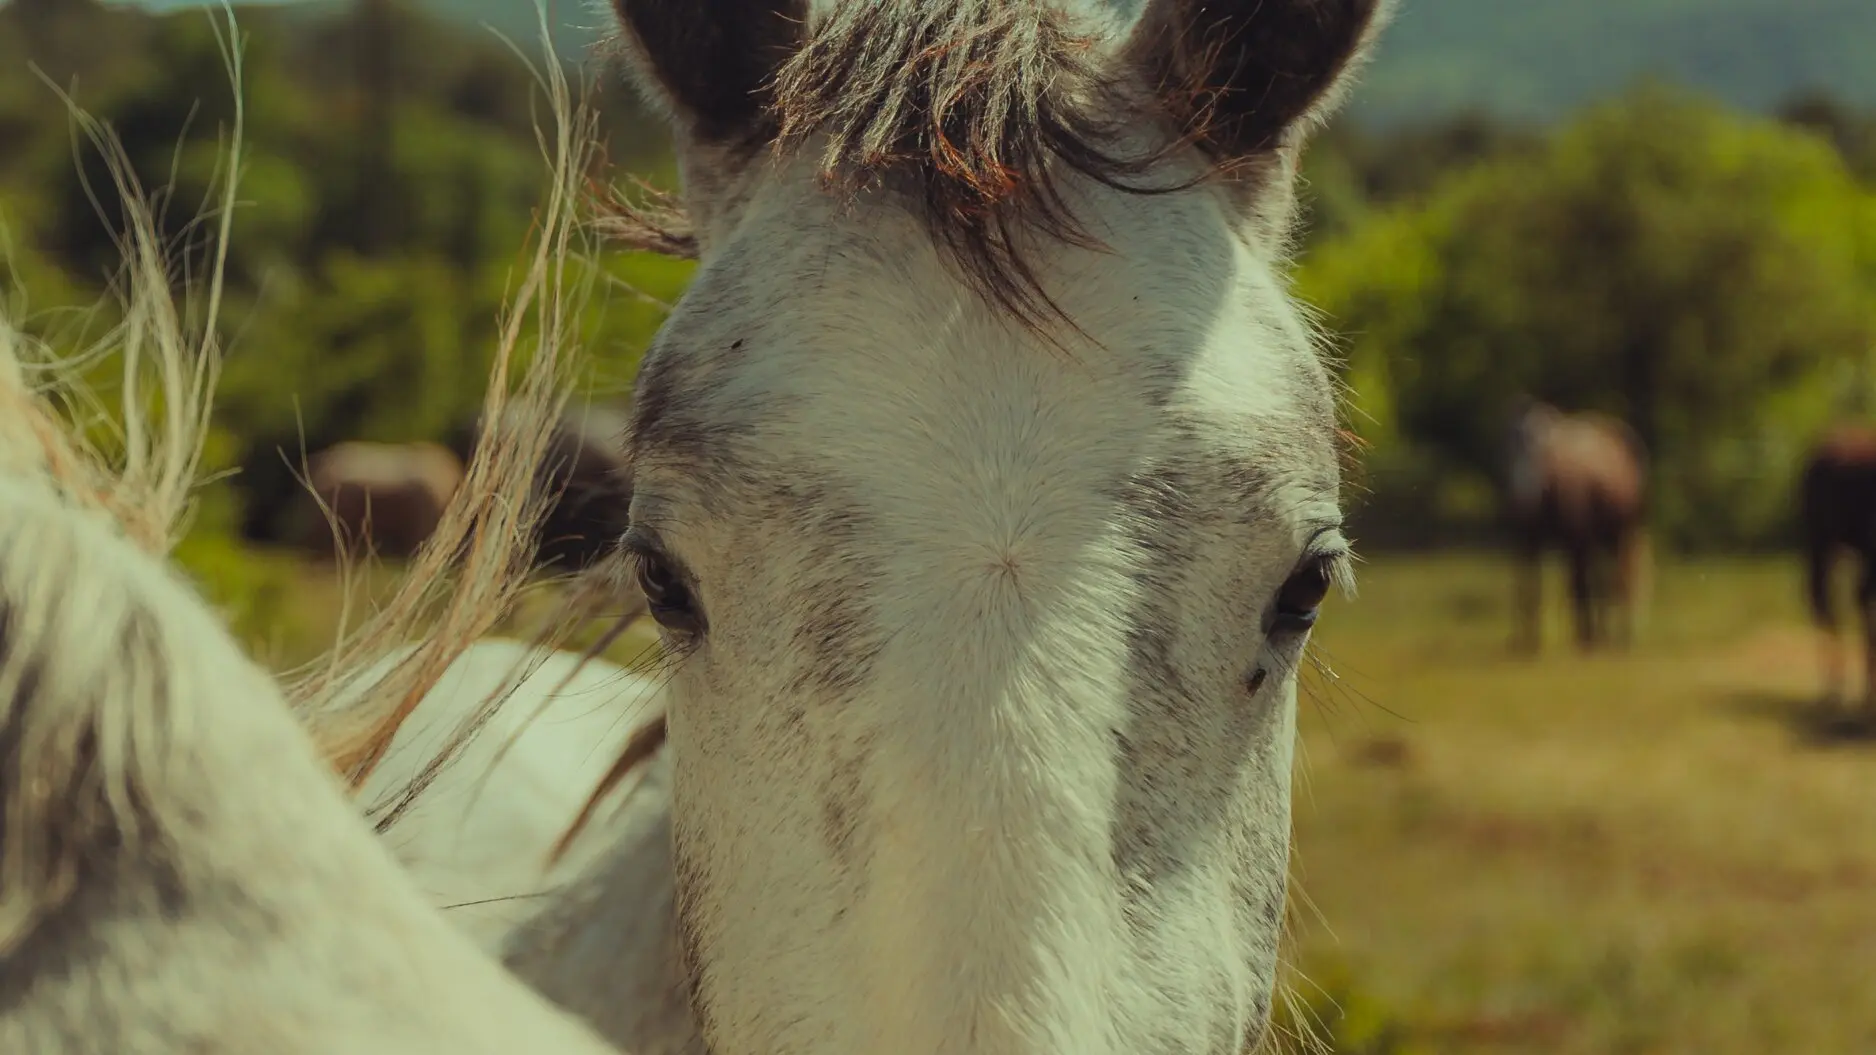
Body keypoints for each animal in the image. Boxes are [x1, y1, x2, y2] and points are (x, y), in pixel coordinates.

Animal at [1503, 398, 1652, 653]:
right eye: (1513, 442)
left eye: (1542, 447)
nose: (1526, 487)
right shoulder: (1530, 541)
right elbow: (1531, 588)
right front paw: (1527, 645)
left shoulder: (1577, 541)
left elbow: (1579, 586)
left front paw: (1585, 640)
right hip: (1604, 539)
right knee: (1607, 582)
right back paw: (1607, 635)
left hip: (1622, 534)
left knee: (1619, 580)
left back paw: (1619, 637)